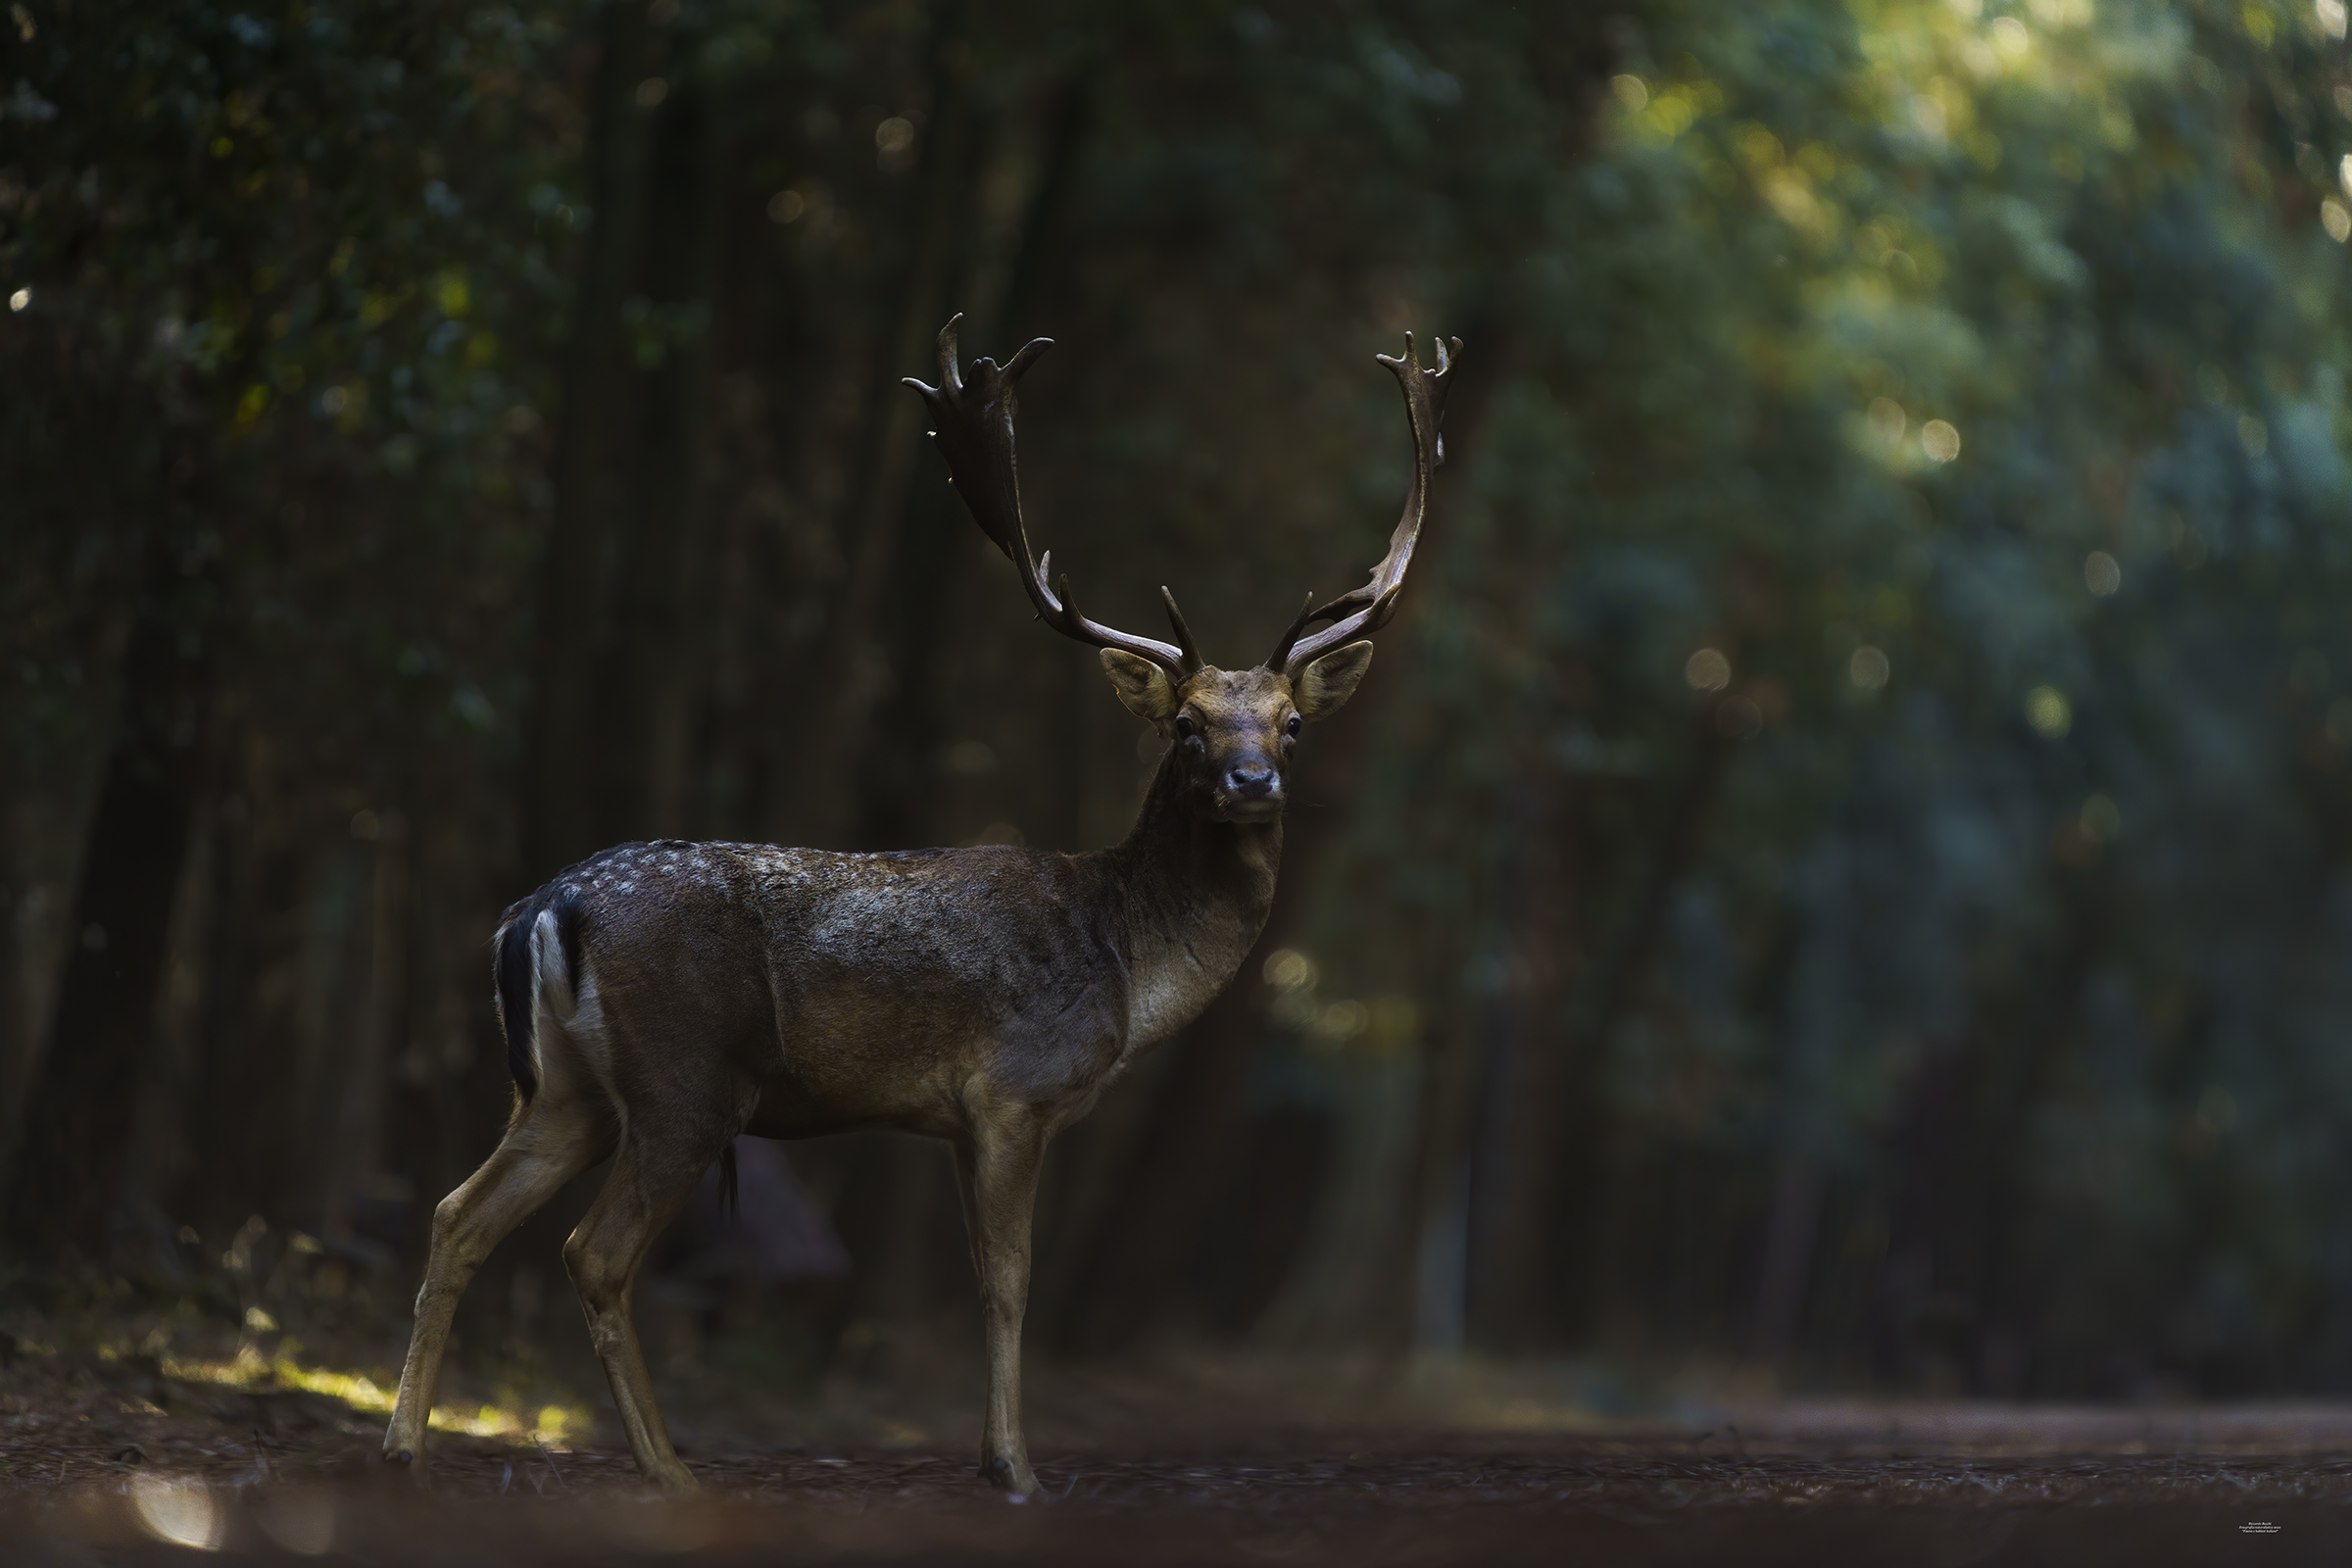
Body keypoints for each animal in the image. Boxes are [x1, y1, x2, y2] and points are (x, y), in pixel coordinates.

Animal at [380, 317, 1457, 1497]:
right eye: (1187, 725)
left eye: (1291, 724)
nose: (1252, 782)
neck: (1127, 967)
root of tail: (541, 907)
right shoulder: (1016, 1090)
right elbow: (1011, 1280)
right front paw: (1017, 1470)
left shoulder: (953, 1117)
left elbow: (985, 1272)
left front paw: (994, 1457)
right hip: (684, 1083)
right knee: (595, 1253)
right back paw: (669, 1471)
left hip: (566, 1092)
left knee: (458, 1213)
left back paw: (406, 1444)